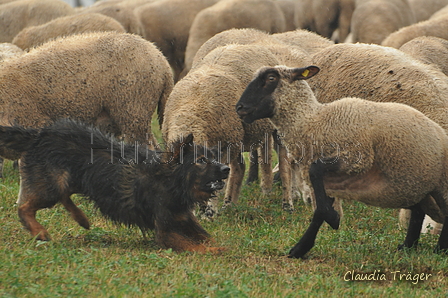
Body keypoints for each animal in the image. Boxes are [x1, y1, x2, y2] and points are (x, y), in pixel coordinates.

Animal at [0, 118, 229, 254]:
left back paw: (82, 219)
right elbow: (196, 246)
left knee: (64, 197)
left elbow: (206, 237)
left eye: (214, 158)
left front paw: (219, 246)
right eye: (201, 161)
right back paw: (39, 231)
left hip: (69, 180)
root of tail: (39, 134)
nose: (226, 169)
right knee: (24, 208)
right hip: (51, 186)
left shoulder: (184, 219)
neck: (170, 180)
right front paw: (216, 251)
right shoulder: (165, 232)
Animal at [236, 65, 446, 258]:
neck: (313, 122)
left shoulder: (356, 158)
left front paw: (332, 219)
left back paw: (440, 249)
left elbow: (316, 173)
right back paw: (408, 246)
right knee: (418, 213)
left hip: (438, 185)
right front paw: (300, 248)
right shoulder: (328, 182)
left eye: (271, 78)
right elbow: (319, 210)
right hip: (414, 185)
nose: (239, 108)